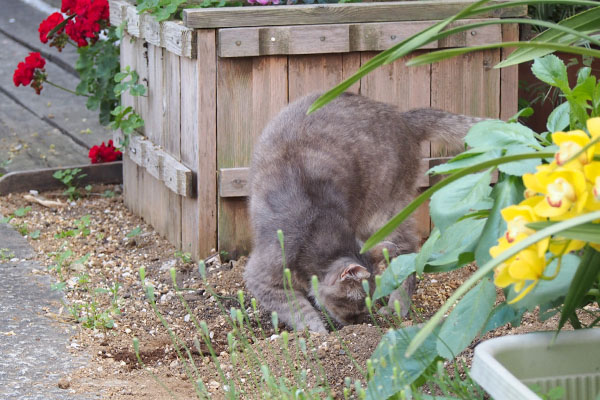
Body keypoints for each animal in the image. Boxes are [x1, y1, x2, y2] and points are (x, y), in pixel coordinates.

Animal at [244, 92, 482, 332]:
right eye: (355, 302)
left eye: (366, 301)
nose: (358, 322)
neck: (314, 228)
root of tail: (402, 118)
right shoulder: (263, 278)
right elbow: (297, 309)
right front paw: (318, 331)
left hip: (384, 216)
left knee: (409, 253)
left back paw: (396, 304)